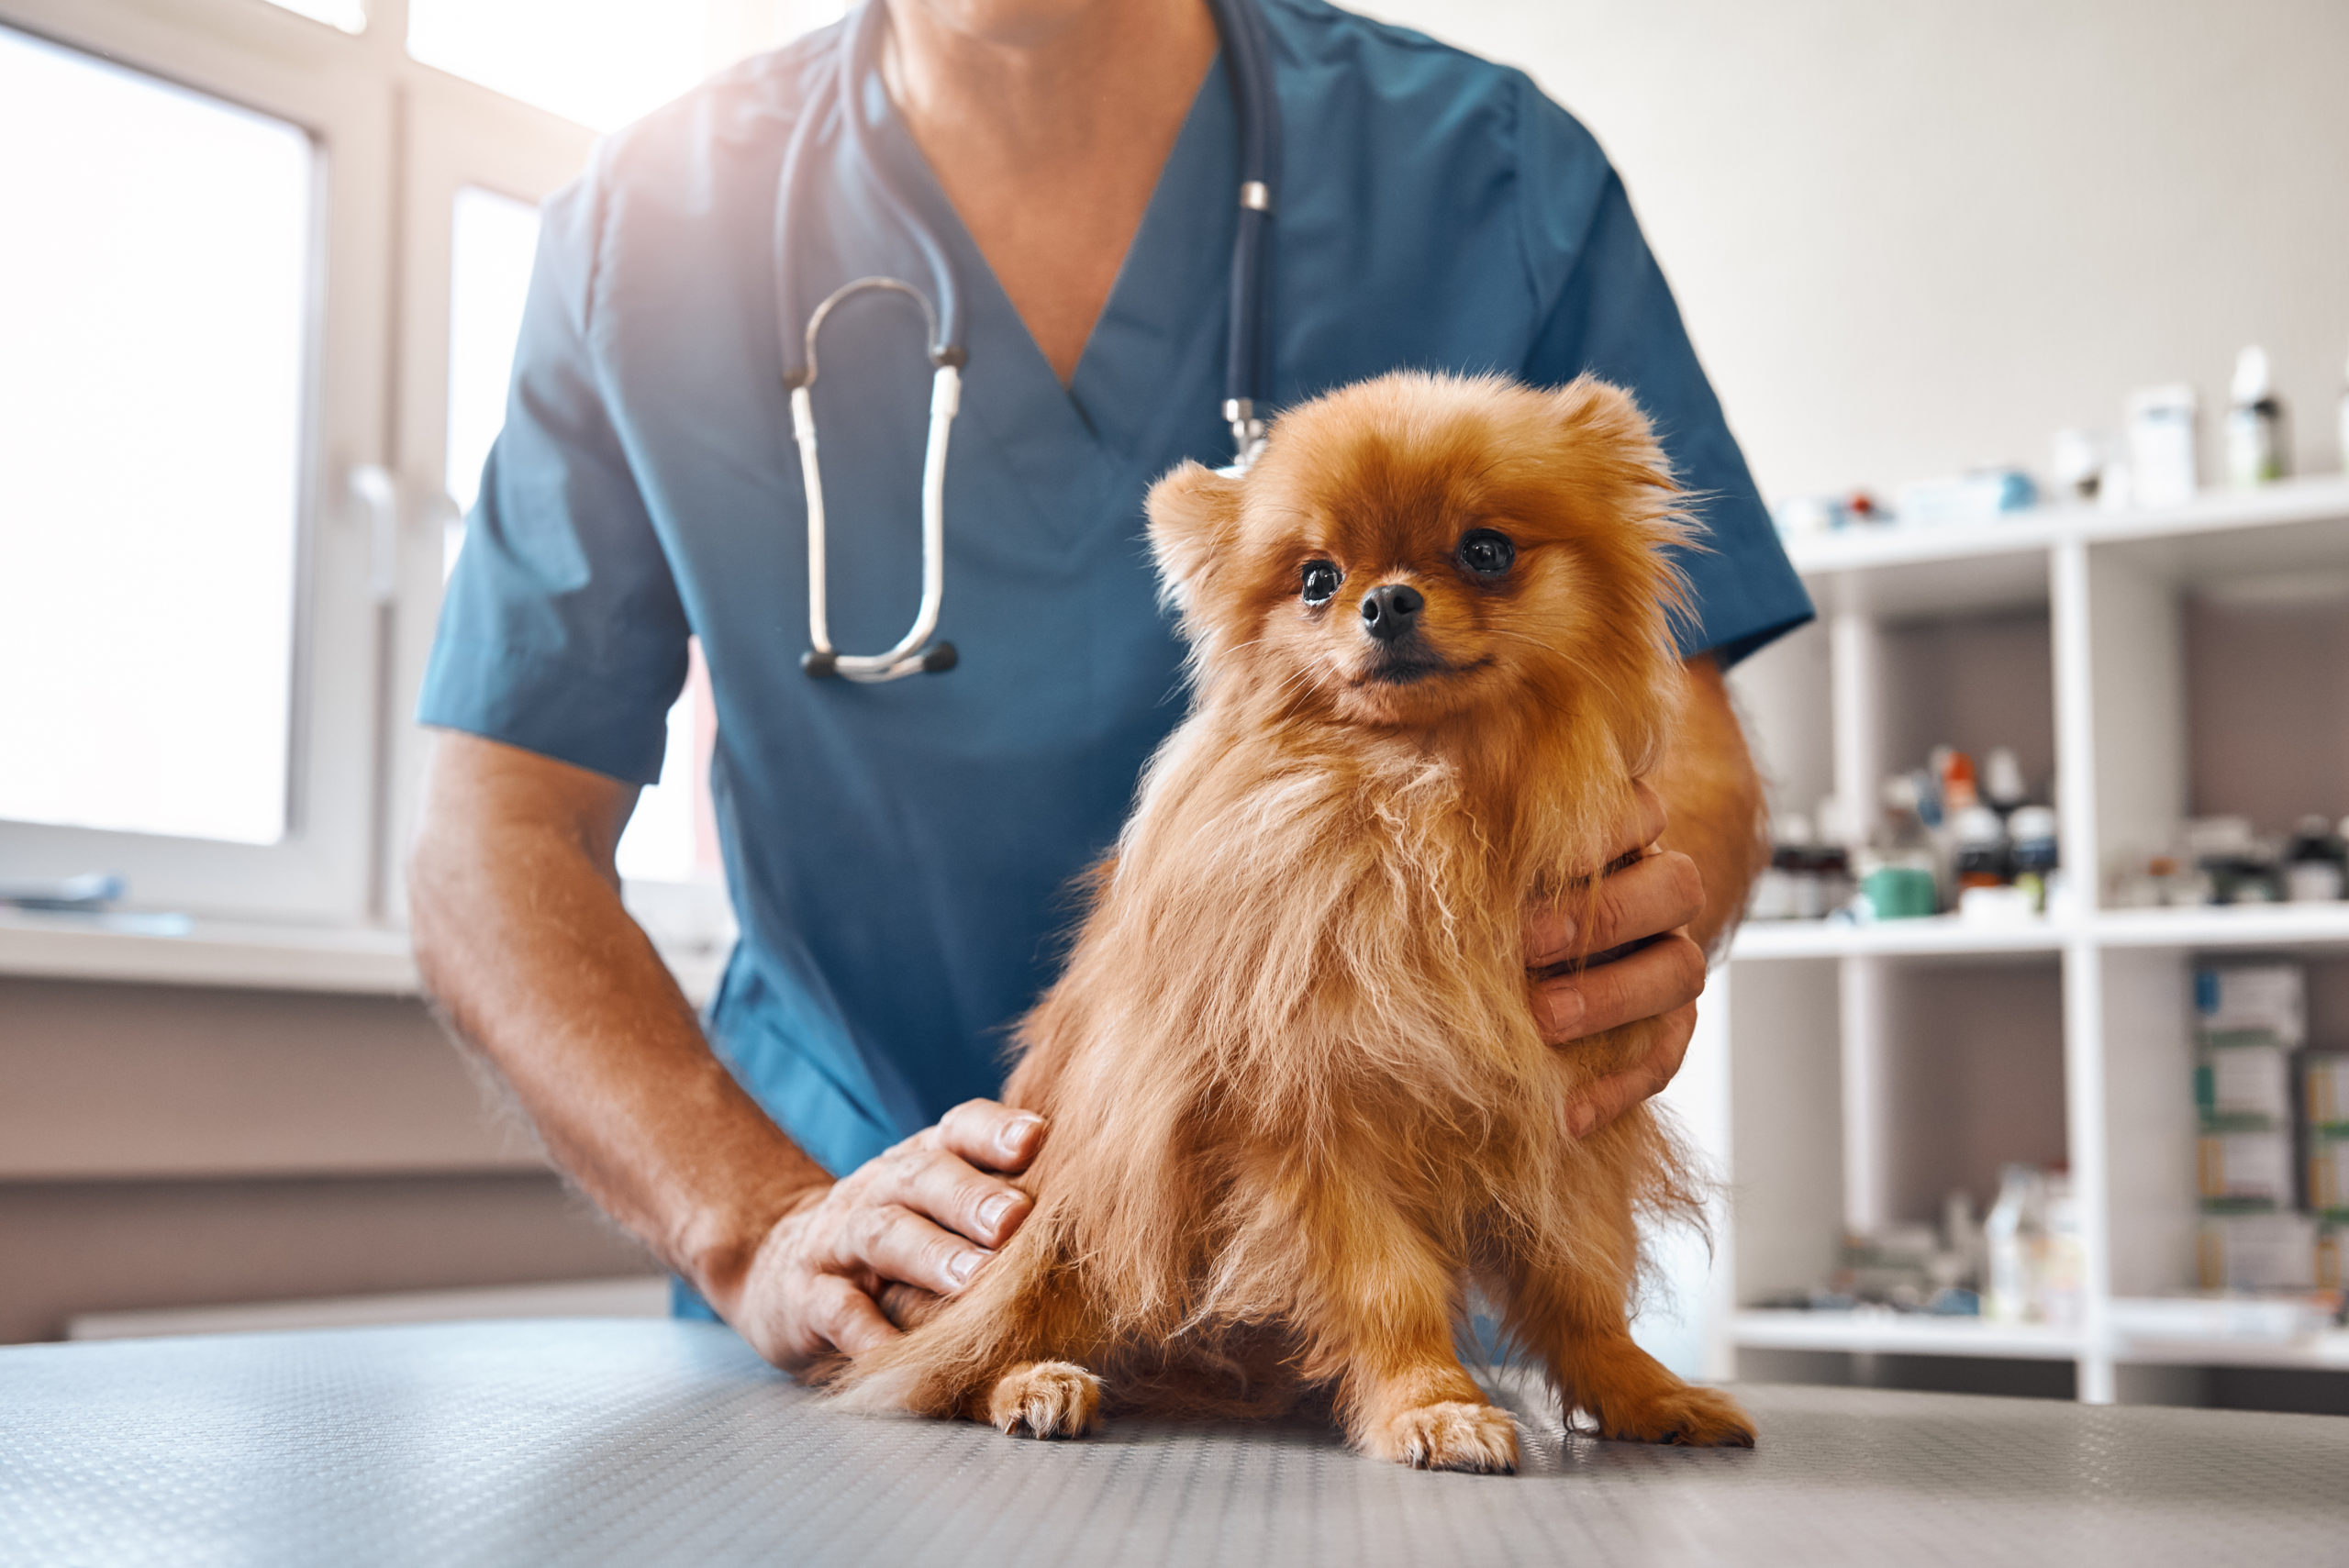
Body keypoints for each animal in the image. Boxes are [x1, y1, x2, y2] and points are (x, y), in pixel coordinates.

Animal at [836, 368, 1756, 1473]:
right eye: (1317, 579)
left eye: (1485, 550)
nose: (1386, 599)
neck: (1425, 797)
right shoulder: (1307, 1126)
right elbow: (1387, 1287)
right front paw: (1430, 1405)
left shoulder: (1563, 1119)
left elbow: (1579, 1286)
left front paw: (1640, 1389)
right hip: (1064, 1212)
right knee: (960, 1355)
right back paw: (1037, 1382)